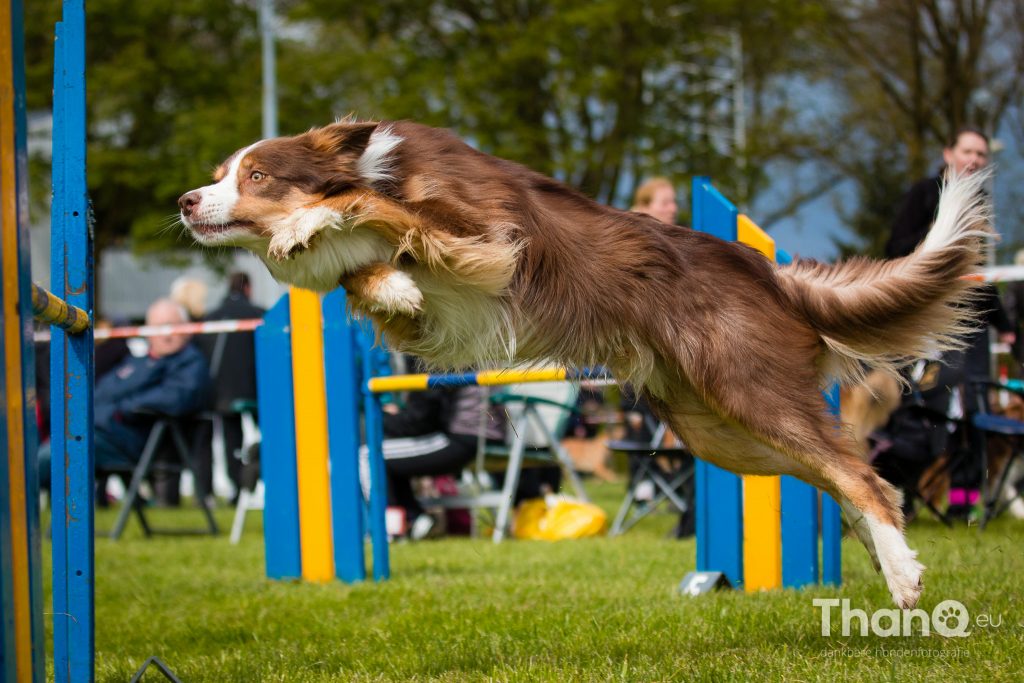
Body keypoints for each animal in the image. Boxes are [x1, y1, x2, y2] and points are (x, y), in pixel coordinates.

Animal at [178, 118, 991, 610]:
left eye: (256, 177)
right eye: (220, 173)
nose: (186, 200)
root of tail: (772, 272)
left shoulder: (484, 229)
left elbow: (368, 207)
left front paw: (310, 222)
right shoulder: (447, 283)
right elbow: (380, 270)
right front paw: (385, 277)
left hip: (748, 388)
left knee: (862, 474)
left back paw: (904, 572)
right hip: (721, 433)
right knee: (845, 474)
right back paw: (893, 563)